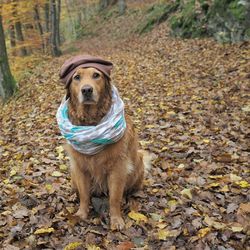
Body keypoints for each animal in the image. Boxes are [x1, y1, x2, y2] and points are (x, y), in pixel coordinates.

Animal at [58, 57, 150, 230]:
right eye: (77, 77)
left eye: (96, 75)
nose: (87, 90)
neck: (91, 124)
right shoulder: (80, 167)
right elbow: (84, 195)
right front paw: (81, 214)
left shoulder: (118, 168)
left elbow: (114, 197)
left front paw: (116, 219)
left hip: (138, 164)